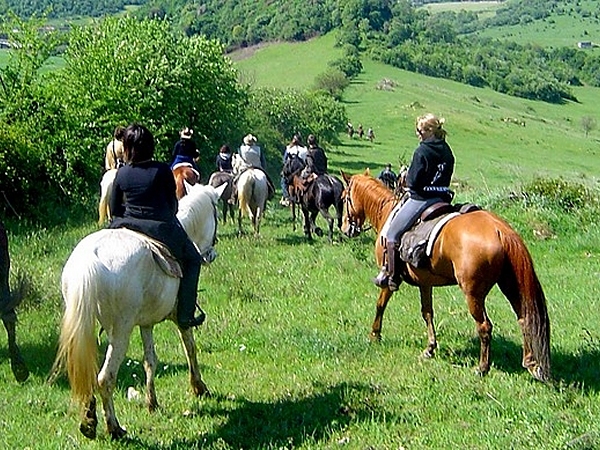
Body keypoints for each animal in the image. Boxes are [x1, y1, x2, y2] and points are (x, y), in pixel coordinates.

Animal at [53, 183, 227, 440]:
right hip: (120, 332)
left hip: (84, 326)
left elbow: (150, 360)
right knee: (105, 378)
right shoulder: (180, 318)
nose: (211, 254)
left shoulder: (146, 323)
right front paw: (199, 387)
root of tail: (90, 259)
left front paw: (151, 402)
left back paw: (89, 421)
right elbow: (190, 348)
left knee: (86, 373)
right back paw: (114, 428)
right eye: (215, 214)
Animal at [340, 171, 552, 382]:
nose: (345, 229)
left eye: (343, 198)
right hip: (510, 285)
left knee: (484, 326)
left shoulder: (392, 279)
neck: (387, 213)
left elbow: (380, 304)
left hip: (473, 294)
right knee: (524, 319)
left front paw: (375, 334)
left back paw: (482, 368)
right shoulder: (425, 282)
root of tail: (500, 229)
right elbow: (427, 312)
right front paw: (430, 348)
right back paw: (531, 364)